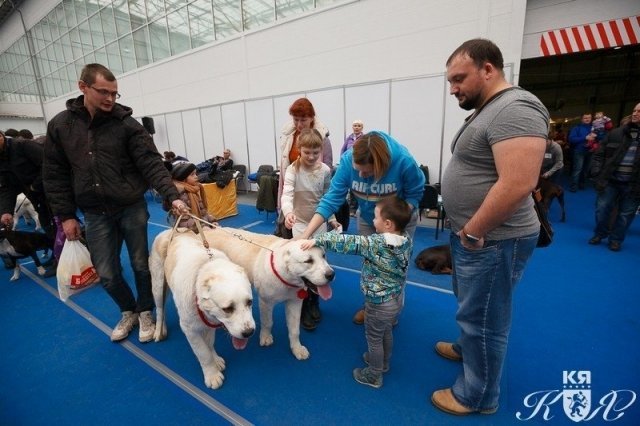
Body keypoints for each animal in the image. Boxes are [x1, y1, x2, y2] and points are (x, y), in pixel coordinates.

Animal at [149, 230, 255, 390]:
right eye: (227, 309)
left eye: (249, 302)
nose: (249, 332)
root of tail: (170, 232)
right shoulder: (189, 329)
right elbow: (203, 353)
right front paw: (212, 375)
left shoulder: (209, 321)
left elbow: (209, 344)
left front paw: (215, 360)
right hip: (158, 285)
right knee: (160, 309)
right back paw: (159, 330)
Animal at [204, 226, 336, 360]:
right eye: (308, 261)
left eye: (324, 256)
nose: (331, 274)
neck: (286, 277)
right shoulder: (265, 302)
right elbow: (267, 322)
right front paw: (266, 337)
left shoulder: (294, 303)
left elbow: (294, 330)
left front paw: (297, 348)